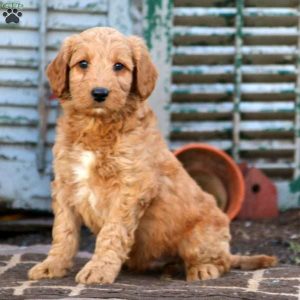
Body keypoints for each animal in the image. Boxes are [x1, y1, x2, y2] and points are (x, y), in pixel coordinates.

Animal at [28, 27, 276, 284]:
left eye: (119, 66)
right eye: (83, 63)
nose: (99, 93)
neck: (96, 126)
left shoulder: (131, 187)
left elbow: (112, 232)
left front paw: (98, 269)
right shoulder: (65, 183)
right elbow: (63, 231)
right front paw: (52, 265)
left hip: (201, 235)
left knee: (220, 260)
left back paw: (202, 269)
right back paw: (169, 269)